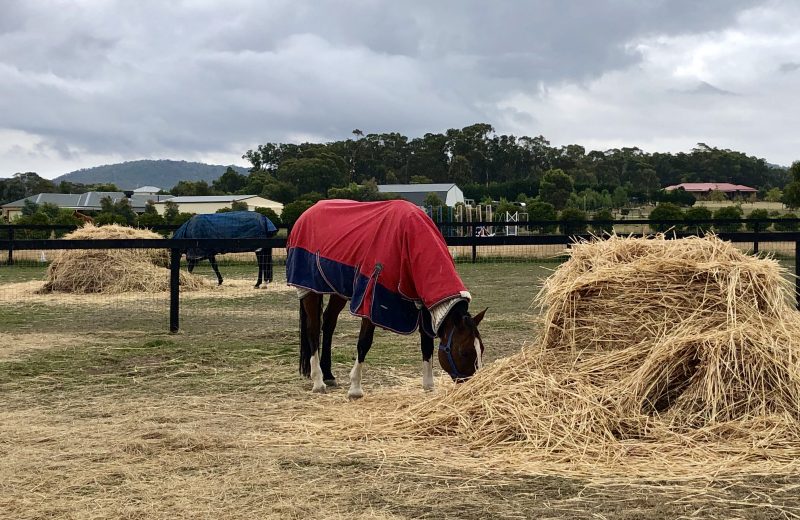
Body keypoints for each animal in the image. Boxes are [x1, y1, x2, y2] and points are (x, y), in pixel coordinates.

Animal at [286, 199, 487, 398]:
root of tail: (306, 213)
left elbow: (427, 345)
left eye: (481, 349)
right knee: (313, 329)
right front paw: (355, 388)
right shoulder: (371, 300)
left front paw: (428, 385)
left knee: (328, 323)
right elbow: (364, 343)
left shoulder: (422, 304)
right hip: (309, 288)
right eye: (464, 352)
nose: (473, 387)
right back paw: (318, 381)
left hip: (337, 290)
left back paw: (328, 375)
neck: (409, 241)